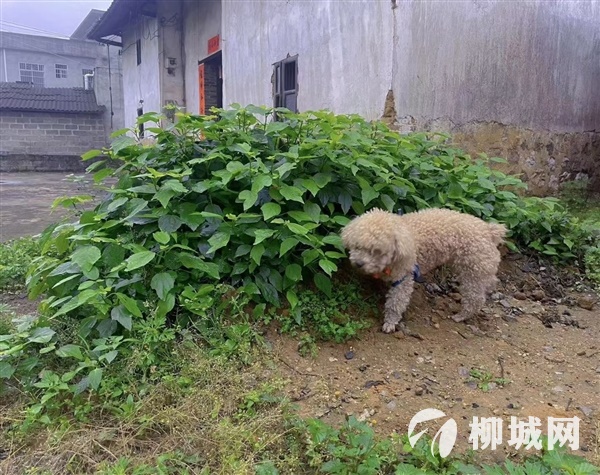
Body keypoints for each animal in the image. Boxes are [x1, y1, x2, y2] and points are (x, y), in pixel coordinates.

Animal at [342, 208, 506, 334]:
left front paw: (390, 322)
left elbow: (396, 303)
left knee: (475, 298)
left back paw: (461, 316)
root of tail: (489, 231)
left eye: (376, 251)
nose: (358, 263)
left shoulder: (404, 278)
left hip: (473, 272)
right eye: (357, 246)